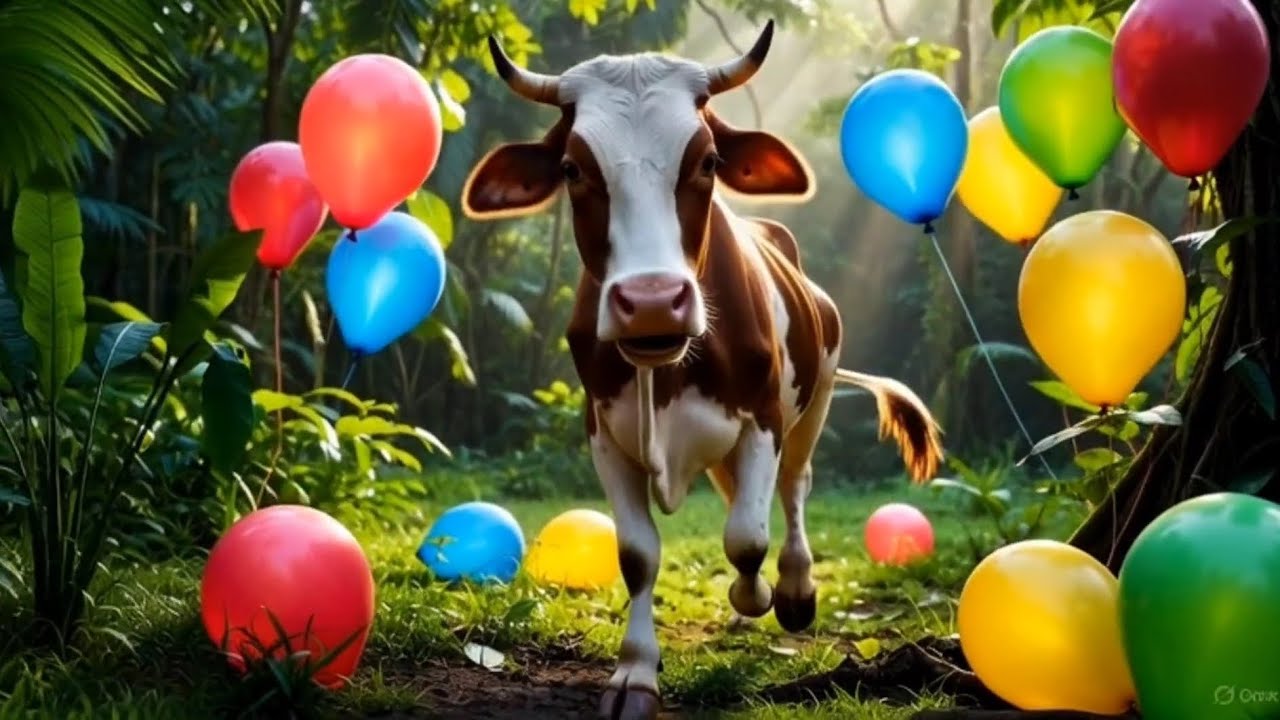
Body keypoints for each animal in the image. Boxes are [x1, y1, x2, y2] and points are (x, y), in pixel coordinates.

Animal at [461, 22, 945, 720]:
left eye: (709, 162)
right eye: (573, 168)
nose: (652, 301)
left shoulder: (763, 419)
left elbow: (746, 537)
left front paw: (760, 595)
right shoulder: (603, 434)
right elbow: (638, 555)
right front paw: (636, 672)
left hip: (817, 396)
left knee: (793, 489)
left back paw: (791, 589)